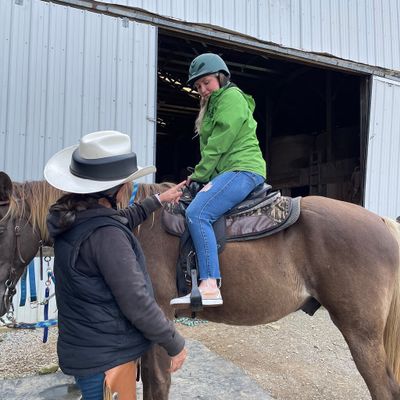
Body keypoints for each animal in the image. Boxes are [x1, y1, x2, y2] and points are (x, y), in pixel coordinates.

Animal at [1, 171, 400, 400]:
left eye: (1, 223)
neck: (132, 225)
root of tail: (383, 223)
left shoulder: (159, 317)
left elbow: (159, 385)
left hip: (361, 333)